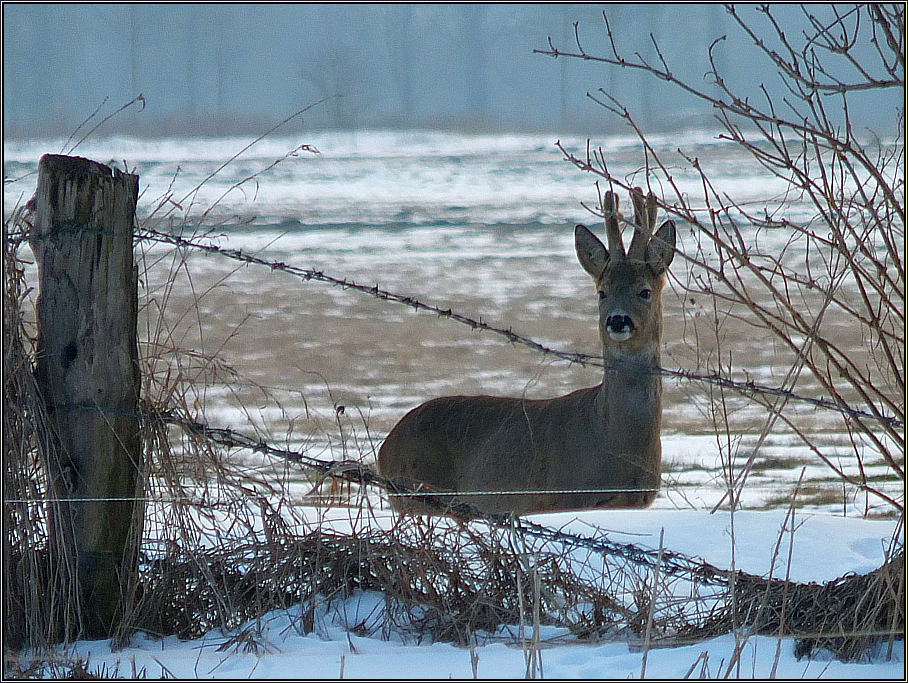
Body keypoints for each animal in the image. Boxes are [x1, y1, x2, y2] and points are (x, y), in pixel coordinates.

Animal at [376, 187, 672, 512]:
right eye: (602, 292)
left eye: (644, 291)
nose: (618, 320)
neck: (616, 442)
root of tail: (385, 447)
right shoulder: (564, 496)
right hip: (416, 496)